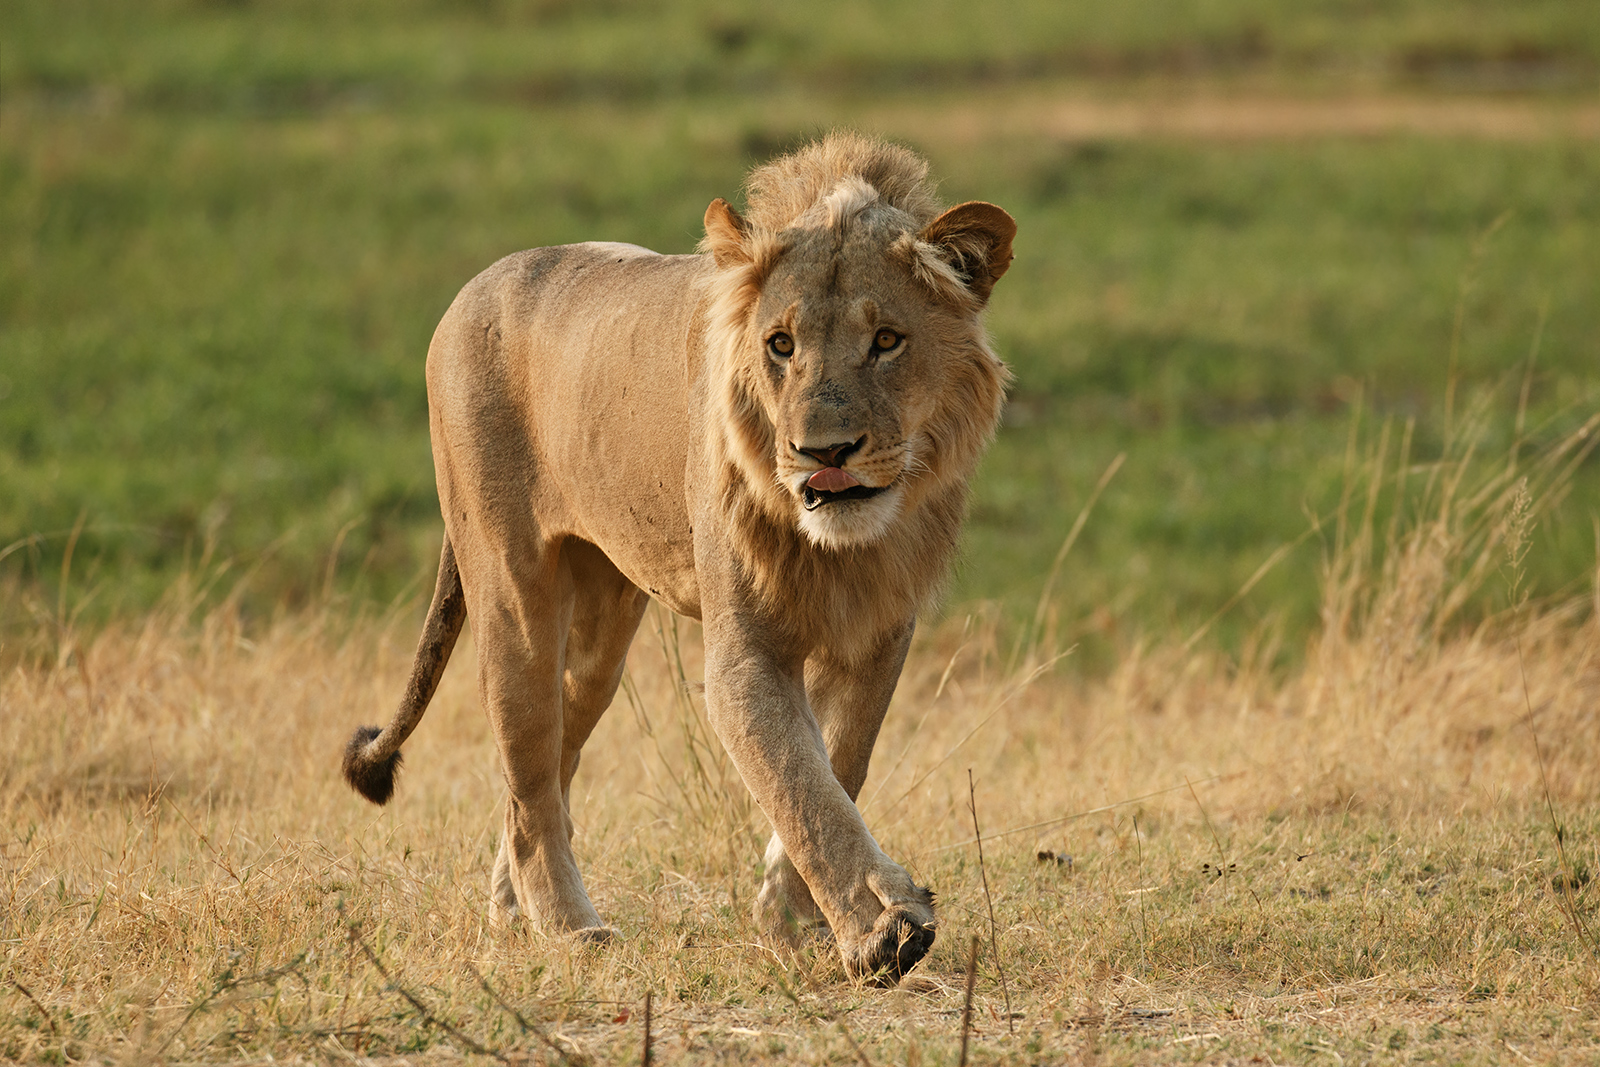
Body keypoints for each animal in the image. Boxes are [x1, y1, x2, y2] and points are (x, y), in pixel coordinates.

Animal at [341, 132, 1014, 983]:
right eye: (781, 345)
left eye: (887, 340)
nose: (823, 453)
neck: (847, 544)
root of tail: (472, 288)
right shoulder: (743, 653)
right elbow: (799, 781)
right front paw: (882, 930)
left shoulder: (879, 634)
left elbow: (837, 764)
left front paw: (791, 916)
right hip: (513, 594)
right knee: (529, 781)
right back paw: (569, 928)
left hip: (598, 636)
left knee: (549, 770)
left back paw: (513, 913)